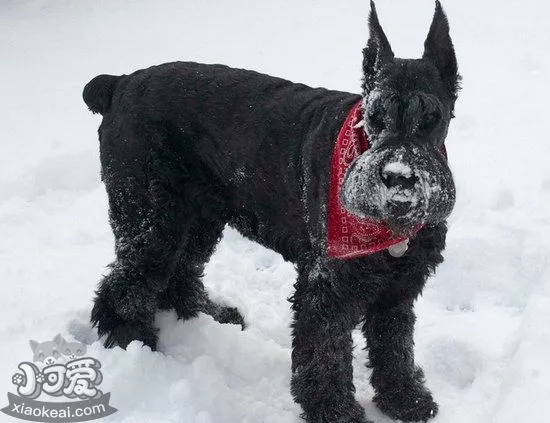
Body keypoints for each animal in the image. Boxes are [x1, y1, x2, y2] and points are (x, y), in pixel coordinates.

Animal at [83, 1, 462, 422]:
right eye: (375, 115)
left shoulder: (400, 285)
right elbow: (325, 355)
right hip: (150, 218)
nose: (397, 177)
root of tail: (119, 84)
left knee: (180, 271)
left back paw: (209, 314)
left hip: (196, 217)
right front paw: (335, 412)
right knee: (125, 284)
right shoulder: (325, 289)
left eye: (432, 117)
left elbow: (395, 344)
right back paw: (135, 344)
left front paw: (405, 398)